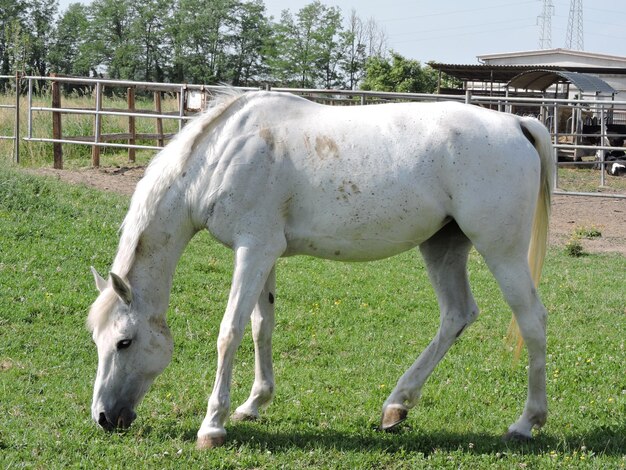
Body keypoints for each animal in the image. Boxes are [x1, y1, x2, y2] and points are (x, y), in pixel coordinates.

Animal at [86, 91, 552, 448]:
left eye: (125, 342)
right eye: (97, 341)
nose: (104, 418)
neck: (221, 155)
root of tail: (517, 122)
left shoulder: (252, 251)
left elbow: (229, 331)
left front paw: (212, 426)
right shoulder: (264, 254)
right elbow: (261, 326)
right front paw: (253, 404)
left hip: (501, 251)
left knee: (531, 320)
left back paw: (526, 422)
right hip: (443, 247)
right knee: (457, 314)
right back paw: (396, 406)